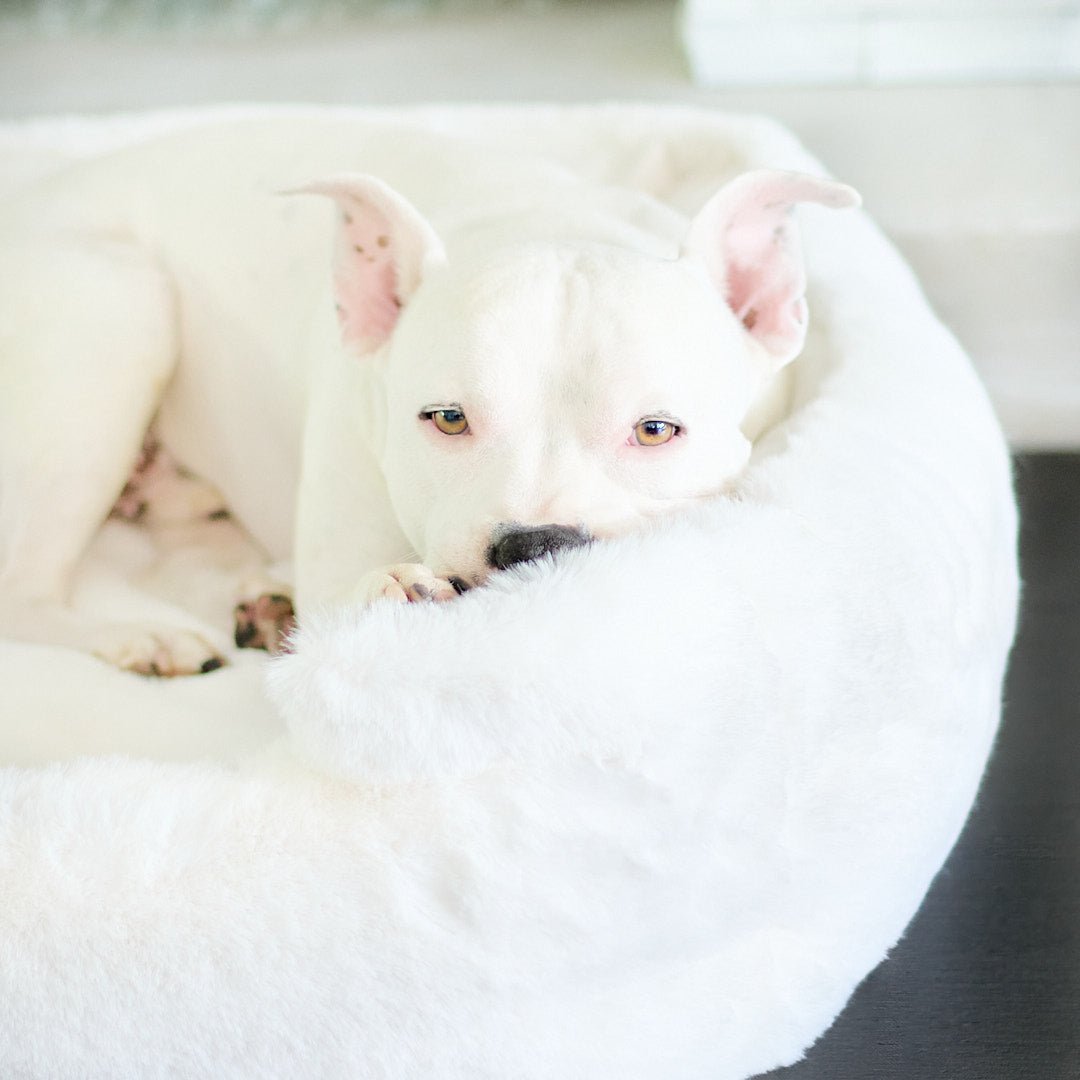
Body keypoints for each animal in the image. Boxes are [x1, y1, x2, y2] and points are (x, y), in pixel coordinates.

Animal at [0, 118, 859, 673]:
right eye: (447, 420)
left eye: (655, 430)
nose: (533, 545)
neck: (536, 221)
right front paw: (389, 593)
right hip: (118, 311)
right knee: (23, 595)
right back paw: (140, 636)